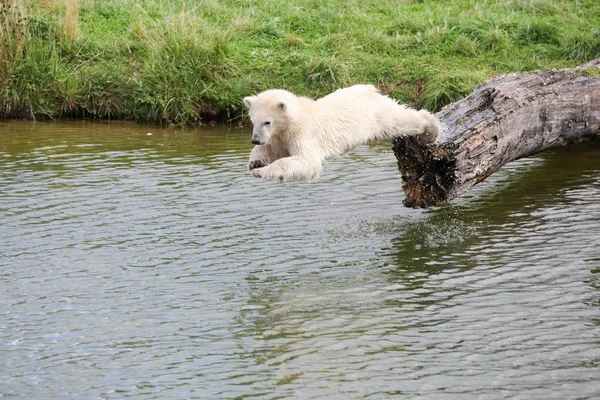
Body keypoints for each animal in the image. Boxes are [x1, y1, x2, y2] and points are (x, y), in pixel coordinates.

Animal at [241, 86, 438, 184]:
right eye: (253, 121)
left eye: (267, 122)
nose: (255, 139)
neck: (297, 118)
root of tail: (369, 89)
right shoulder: (279, 136)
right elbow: (273, 149)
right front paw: (256, 161)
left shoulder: (304, 133)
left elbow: (307, 162)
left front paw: (260, 171)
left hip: (374, 115)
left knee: (399, 120)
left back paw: (432, 129)